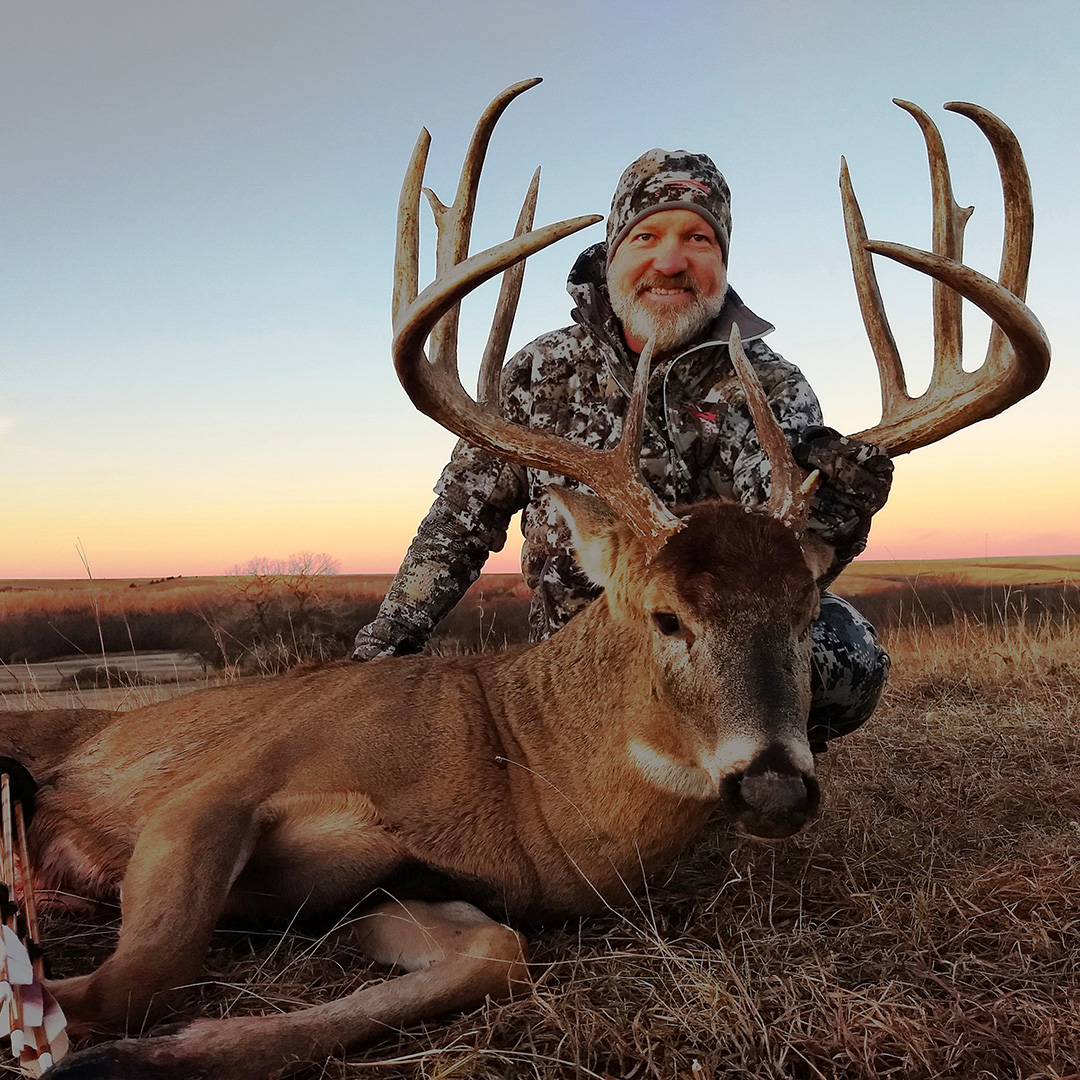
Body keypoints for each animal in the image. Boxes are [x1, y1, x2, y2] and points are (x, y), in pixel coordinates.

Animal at [1, 80, 1048, 1079]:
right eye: (665, 616)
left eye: (802, 616)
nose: (775, 789)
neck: (513, 774)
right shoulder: (219, 785)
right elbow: (135, 975)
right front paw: (68, 1038)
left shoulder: (398, 889)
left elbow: (494, 955)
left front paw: (127, 1056)